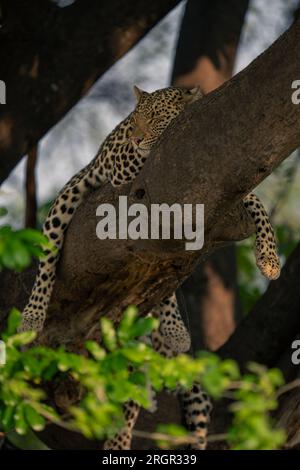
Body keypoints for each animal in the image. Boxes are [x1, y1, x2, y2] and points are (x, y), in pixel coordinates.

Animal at [20, 84, 282, 452]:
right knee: (50, 262)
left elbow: (258, 204)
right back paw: (33, 315)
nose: (136, 137)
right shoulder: (124, 167)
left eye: (156, 117)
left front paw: (270, 260)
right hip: (70, 202)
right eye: (136, 120)